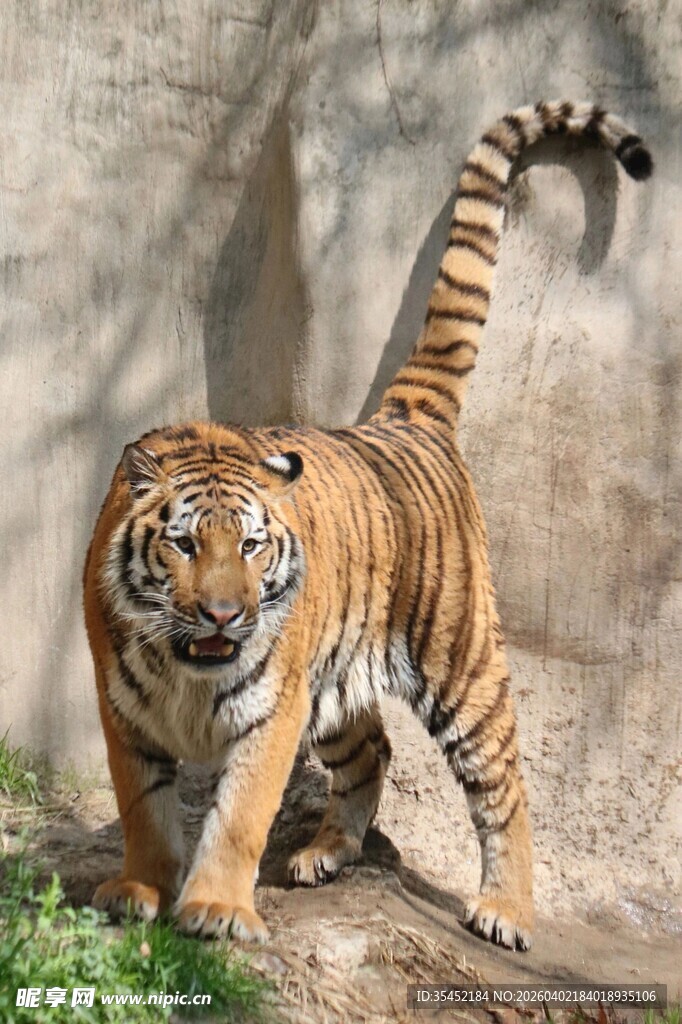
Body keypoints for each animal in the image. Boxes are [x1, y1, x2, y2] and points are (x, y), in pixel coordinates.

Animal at [83, 100, 652, 952]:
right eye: (183, 545)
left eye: (250, 546)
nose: (224, 614)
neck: (188, 670)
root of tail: (404, 417)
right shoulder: (126, 715)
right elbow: (143, 811)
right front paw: (139, 891)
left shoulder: (272, 712)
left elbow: (239, 816)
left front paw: (216, 908)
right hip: (336, 681)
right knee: (372, 748)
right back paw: (326, 853)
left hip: (461, 660)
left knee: (505, 785)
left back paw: (506, 911)